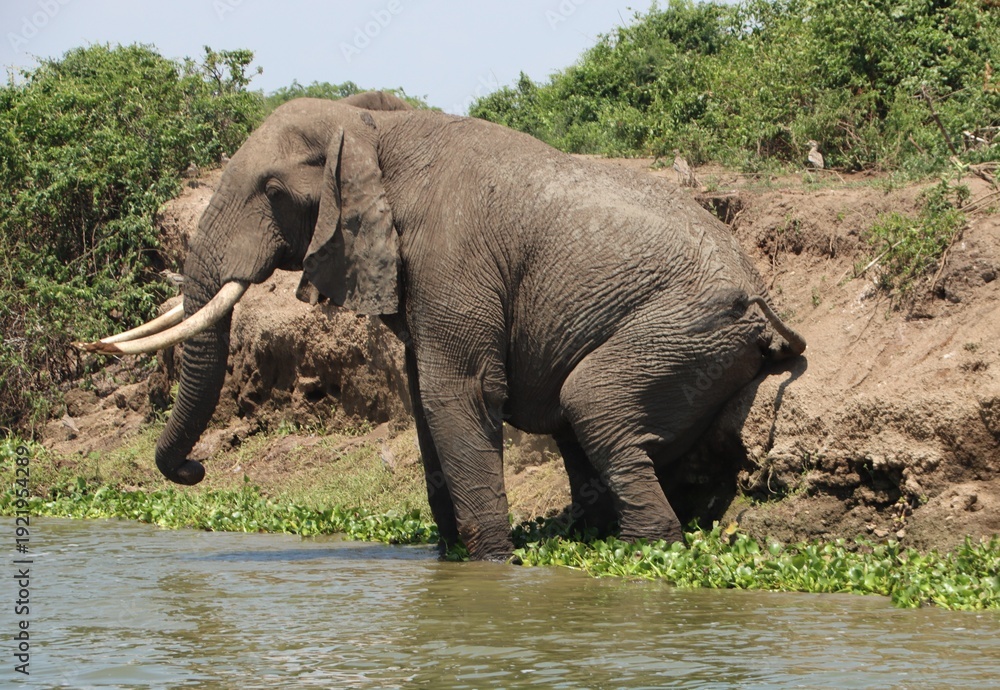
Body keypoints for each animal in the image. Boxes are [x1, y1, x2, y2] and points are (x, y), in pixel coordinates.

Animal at [82, 93, 805, 561]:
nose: (196, 469)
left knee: (592, 404)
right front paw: (447, 562)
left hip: (684, 328)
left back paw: (643, 553)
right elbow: (424, 398)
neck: (376, 128)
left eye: (273, 191)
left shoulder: (452, 254)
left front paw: (489, 568)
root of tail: (768, 305)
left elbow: (457, 391)